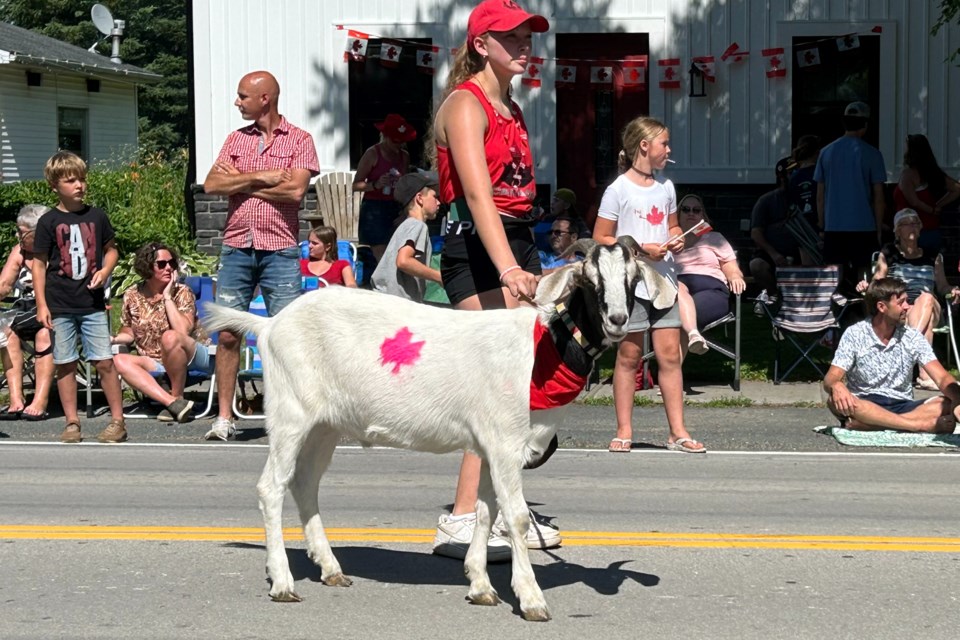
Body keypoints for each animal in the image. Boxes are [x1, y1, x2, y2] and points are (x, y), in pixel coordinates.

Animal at [204, 238, 676, 624]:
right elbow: (517, 518)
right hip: (291, 413)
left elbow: (486, 513)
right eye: (589, 279)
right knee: (272, 486)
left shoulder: (487, 445)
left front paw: (481, 588)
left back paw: (332, 570)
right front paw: (531, 600)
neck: (540, 350)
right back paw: (283, 583)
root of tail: (269, 325)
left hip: (324, 425)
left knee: (305, 483)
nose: (617, 319)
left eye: (633, 279)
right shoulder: (505, 442)